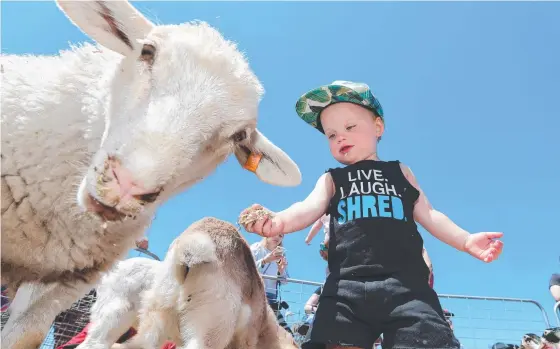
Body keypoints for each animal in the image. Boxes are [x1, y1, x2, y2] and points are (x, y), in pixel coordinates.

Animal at [1, 0, 302, 346]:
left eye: (238, 136)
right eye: (147, 51)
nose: (127, 186)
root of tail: (192, 249)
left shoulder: (60, 286)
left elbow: (25, 335)